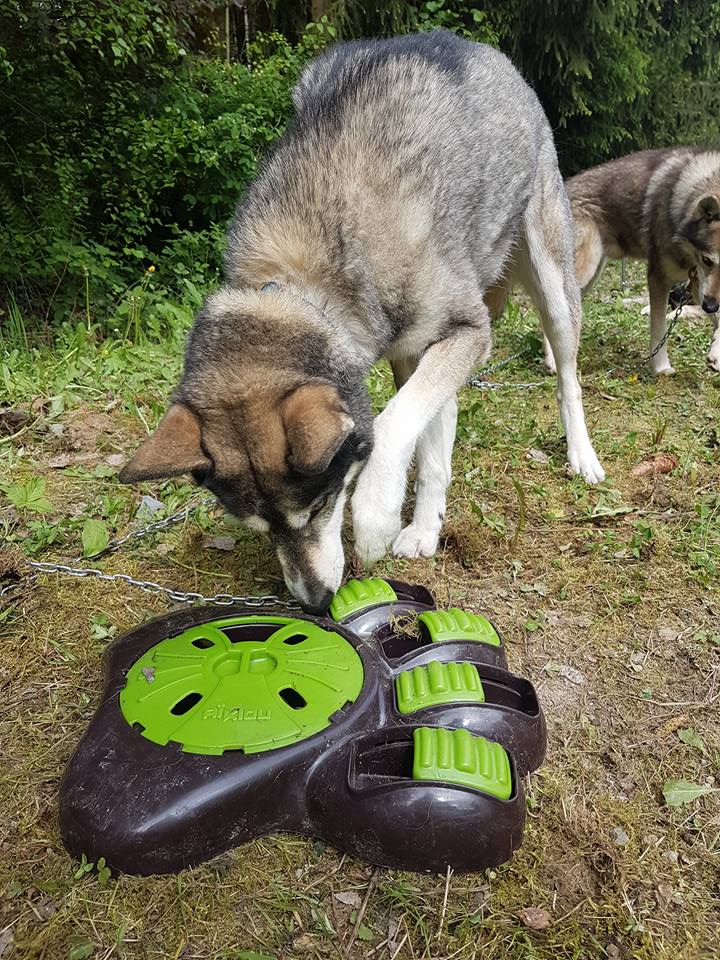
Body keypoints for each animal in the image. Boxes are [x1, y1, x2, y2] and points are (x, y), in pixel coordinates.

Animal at [121, 35, 604, 616]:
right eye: (260, 528)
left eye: (321, 505)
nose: (313, 602)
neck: (302, 282)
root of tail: (488, 53)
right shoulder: (417, 351)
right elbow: (424, 435)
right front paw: (421, 527)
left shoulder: (469, 332)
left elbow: (391, 426)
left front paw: (375, 519)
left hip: (552, 284)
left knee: (567, 377)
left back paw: (582, 456)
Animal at [560, 147, 720, 376]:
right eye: (708, 260)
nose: (711, 306)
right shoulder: (659, 279)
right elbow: (659, 329)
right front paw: (661, 368)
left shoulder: (699, 286)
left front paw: (716, 355)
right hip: (585, 270)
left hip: (591, 276)